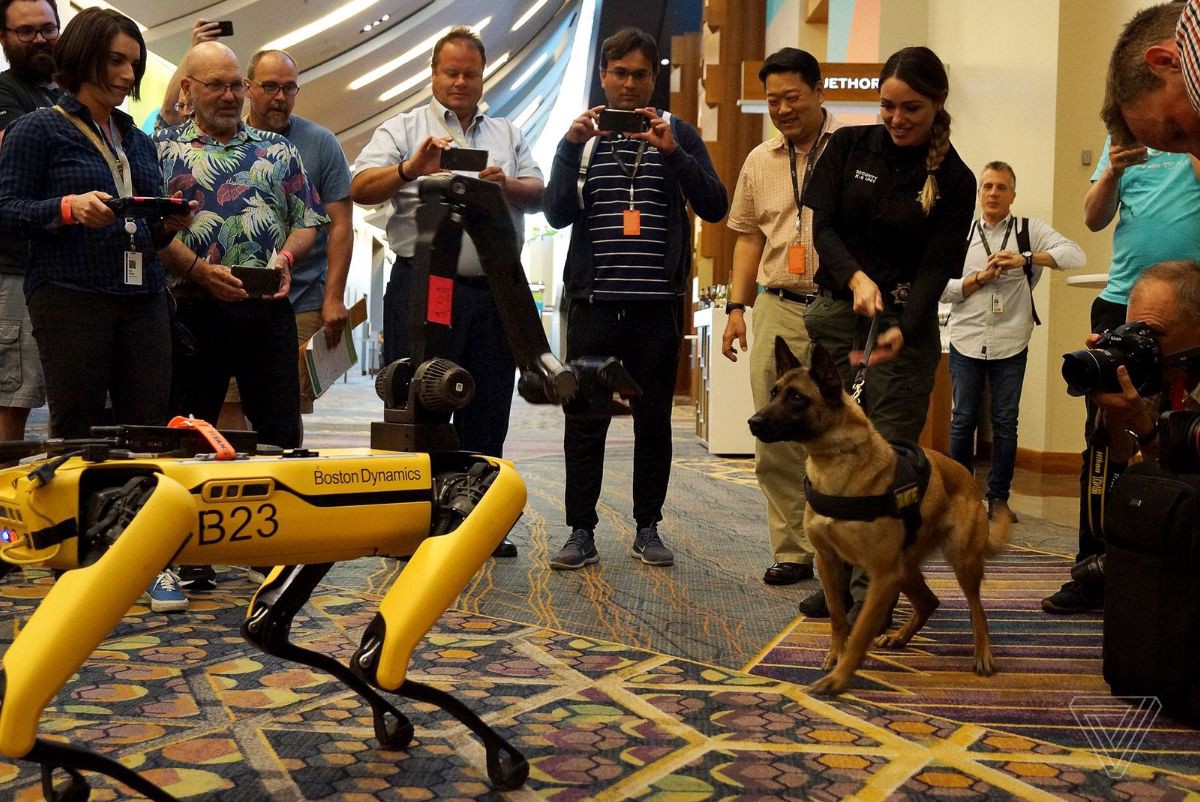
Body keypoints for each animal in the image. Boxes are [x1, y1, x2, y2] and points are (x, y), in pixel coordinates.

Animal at [0, 178, 638, 802]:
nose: (600, 379)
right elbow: (373, 657)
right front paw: (490, 751)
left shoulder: (370, 534)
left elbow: (290, 634)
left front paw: (405, 722)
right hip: (142, 532)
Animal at [744, 338, 1008, 696]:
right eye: (773, 393)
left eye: (797, 397)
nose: (753, 422)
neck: (835, 462)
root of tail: (966, 475)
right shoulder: (829, 562)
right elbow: (838, 617)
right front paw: (835, 656)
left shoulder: (881, 575)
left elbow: (861, 629)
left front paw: (840, 676)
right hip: (906, 569)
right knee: (929, 601)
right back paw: (900, 637)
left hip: (959, 562)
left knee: (976, 608)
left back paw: (983, 653)